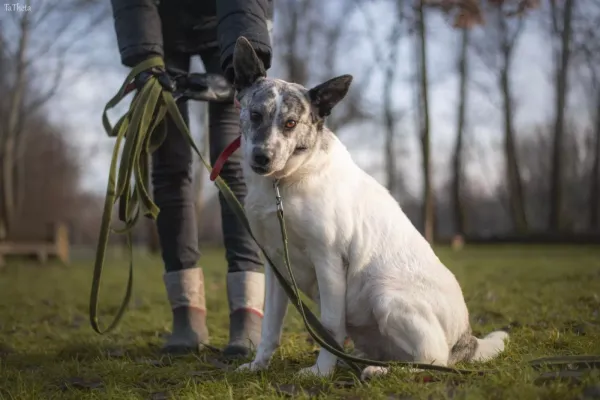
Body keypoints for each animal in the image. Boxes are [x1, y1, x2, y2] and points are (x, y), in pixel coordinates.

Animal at [230, 36, 506, 378]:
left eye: (290, 123)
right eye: (255, 115)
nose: (261, 158)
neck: (283, 183)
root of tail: (467, 341)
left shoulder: (329, 260)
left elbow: (331, 326)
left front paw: (321, 372)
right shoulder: (276, 265)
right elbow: (269, 326)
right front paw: (258, 364)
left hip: (386, 295)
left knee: (433, 359)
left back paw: (381, 371)